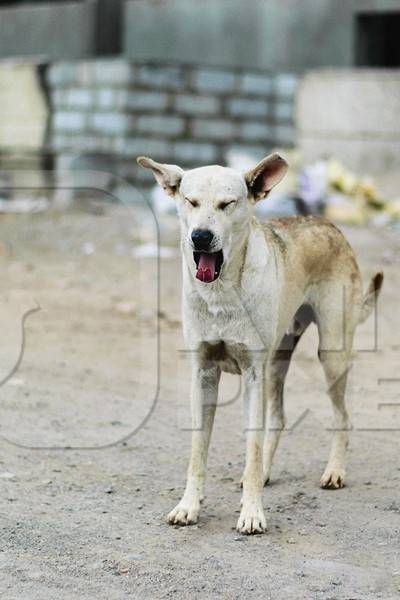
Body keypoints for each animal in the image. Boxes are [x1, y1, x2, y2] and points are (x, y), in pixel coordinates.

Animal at [137, 154, 382, 536]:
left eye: (227, 204)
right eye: (191, 202)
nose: (200, 237)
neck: (222, 294)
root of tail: (329, 224)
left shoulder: (253, 374)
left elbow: (250, 449)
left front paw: (252, 513)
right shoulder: (203, 375)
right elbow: (197, 453)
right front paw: (188, 506)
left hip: (330, 356)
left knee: (342, 416)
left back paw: (334, 471)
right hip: (277, 363)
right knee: (278, 417)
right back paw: (268, 472)